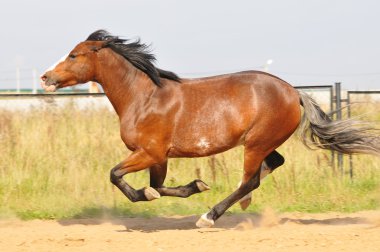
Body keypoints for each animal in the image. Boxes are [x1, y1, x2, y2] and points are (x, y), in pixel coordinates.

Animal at [40, 30, 378, 227]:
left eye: (74, 54)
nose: (45, 77)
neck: (144, 97)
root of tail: (294, 92)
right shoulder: (160, 156)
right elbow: (160, 186)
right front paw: (194, 185)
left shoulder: (149, 152)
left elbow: (116, 175)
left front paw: (149, 194)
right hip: (264, 142)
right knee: (272, 165)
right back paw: (240, 204)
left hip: (255, 143)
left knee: (251, 179)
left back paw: (210, 216)